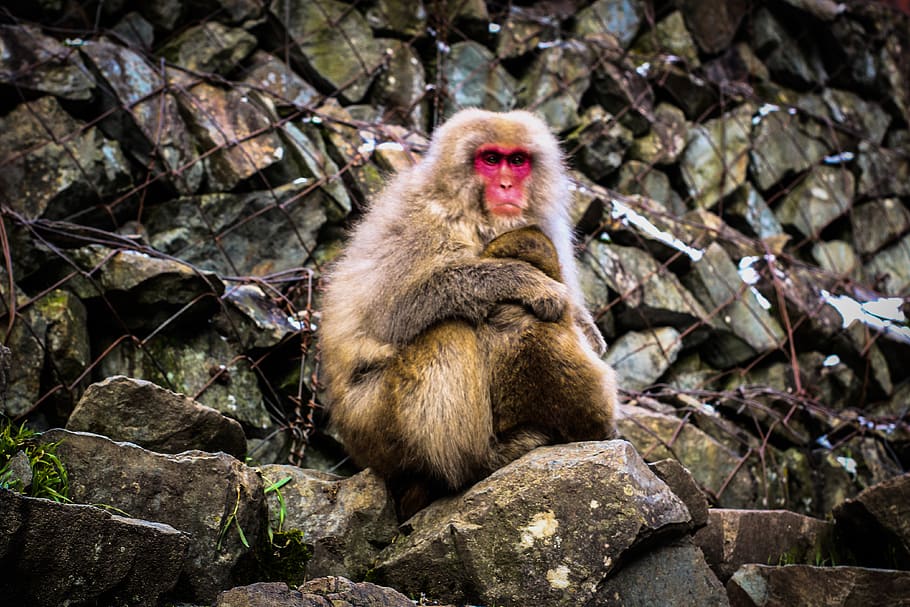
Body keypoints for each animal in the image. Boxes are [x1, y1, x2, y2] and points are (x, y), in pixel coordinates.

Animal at [319, 108, 617, 519]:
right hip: (373, 427)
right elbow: (391, 314)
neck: (475, 214)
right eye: (490, 159)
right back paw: (477, 462)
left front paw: (588, 329)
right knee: (449, 329)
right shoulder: (417, 219)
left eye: (517, 160)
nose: (507, 185)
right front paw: (521, 279)